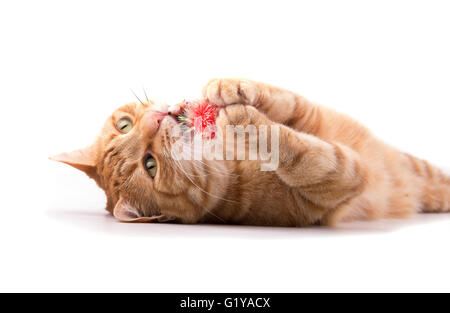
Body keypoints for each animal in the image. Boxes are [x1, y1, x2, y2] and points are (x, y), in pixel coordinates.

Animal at [50, 77, 450, 224]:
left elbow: (284, 101)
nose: (156, 120)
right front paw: (247, 122)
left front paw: (230, 89)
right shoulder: (339, 181)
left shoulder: (304, 113)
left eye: (124, 125)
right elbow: (303, 154)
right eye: (150, 166)